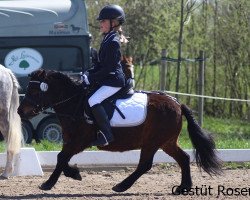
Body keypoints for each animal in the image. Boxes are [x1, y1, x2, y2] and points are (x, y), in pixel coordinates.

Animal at [17, 69, 221, 194]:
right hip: (166, 142)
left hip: (153, 141)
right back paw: (183, 187)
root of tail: (177, 104)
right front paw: (74, 173)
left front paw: (47, 184)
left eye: (34, 91)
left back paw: (121, 186)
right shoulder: (71, 141)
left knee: (145, 165)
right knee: (184, 159)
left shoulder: (79, 141)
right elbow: (62, 159)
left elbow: (61, 158)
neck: (74, 102)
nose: (20, 111)